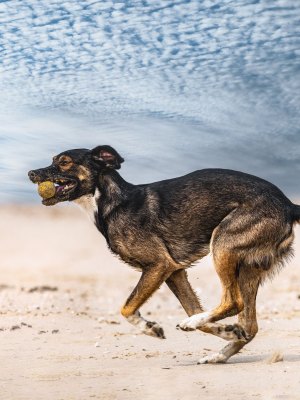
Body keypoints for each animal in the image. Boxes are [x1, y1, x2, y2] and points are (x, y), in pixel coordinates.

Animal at [27, 145, 298, 364]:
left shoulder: (159, 265)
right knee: (249, 325)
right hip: (247, 268)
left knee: (233, 301)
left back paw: (197, 329)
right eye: (53, 160)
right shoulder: (174, 271)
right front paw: (226, 331)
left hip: (223, 244)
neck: (112, 202)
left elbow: (126, 308)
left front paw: (149, 327)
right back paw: (217, 354)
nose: (31, 173)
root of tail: (288, 205)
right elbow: (192, 308)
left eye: (64, 162)